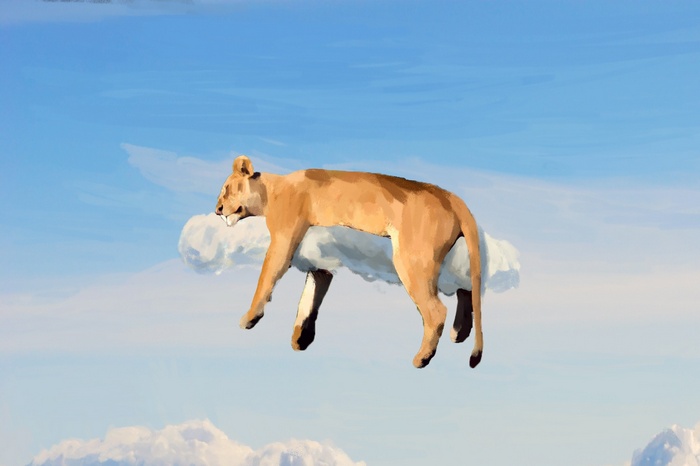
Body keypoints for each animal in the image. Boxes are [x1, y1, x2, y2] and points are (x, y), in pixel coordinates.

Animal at [215, 155, 483, 368]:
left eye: (227, 188)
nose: (217, 209)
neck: (271, 190)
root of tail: (450, 196)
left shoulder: (283, 240)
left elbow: (266, 278)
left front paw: (249, 318)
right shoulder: (320, 264)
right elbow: (309, 298)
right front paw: (300, 338)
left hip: (413, 259)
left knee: (437, 310)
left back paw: (423, 358)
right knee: (466, 288)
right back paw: (459, 332)